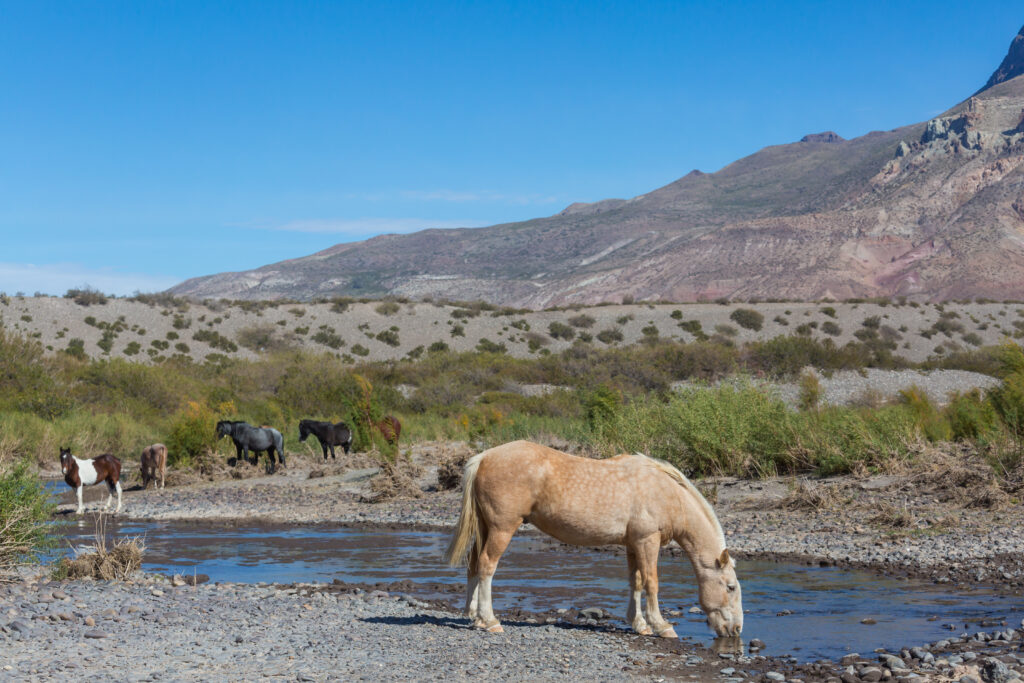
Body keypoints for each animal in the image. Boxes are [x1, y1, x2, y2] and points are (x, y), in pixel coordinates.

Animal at [444, 440, 743, 638]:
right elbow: (652, 582)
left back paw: (475, 618)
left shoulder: (633, 544)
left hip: (485, 527)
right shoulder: (648, 541)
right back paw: (490, 620)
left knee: (473, 564)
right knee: (486, 565)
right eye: (730, 587)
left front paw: (639, 624)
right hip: (502, 529)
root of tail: (484, 457)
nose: (736, 629)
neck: (666, 493)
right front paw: (661, 625)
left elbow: (635, 581)